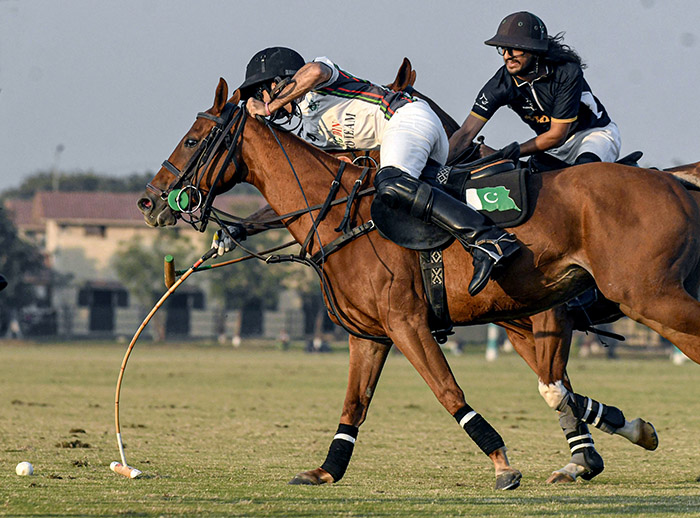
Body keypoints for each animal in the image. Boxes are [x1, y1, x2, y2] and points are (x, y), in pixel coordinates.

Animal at [137, 78, 700, 492]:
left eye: (192, 140)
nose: (150, 201)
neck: (340, 214)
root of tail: (676, 182)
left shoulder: (410, 322)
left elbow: (454, 391)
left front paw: (504, 463)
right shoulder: (370, 334)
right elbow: (355, 404)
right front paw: (326, 470)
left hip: (652, 298)